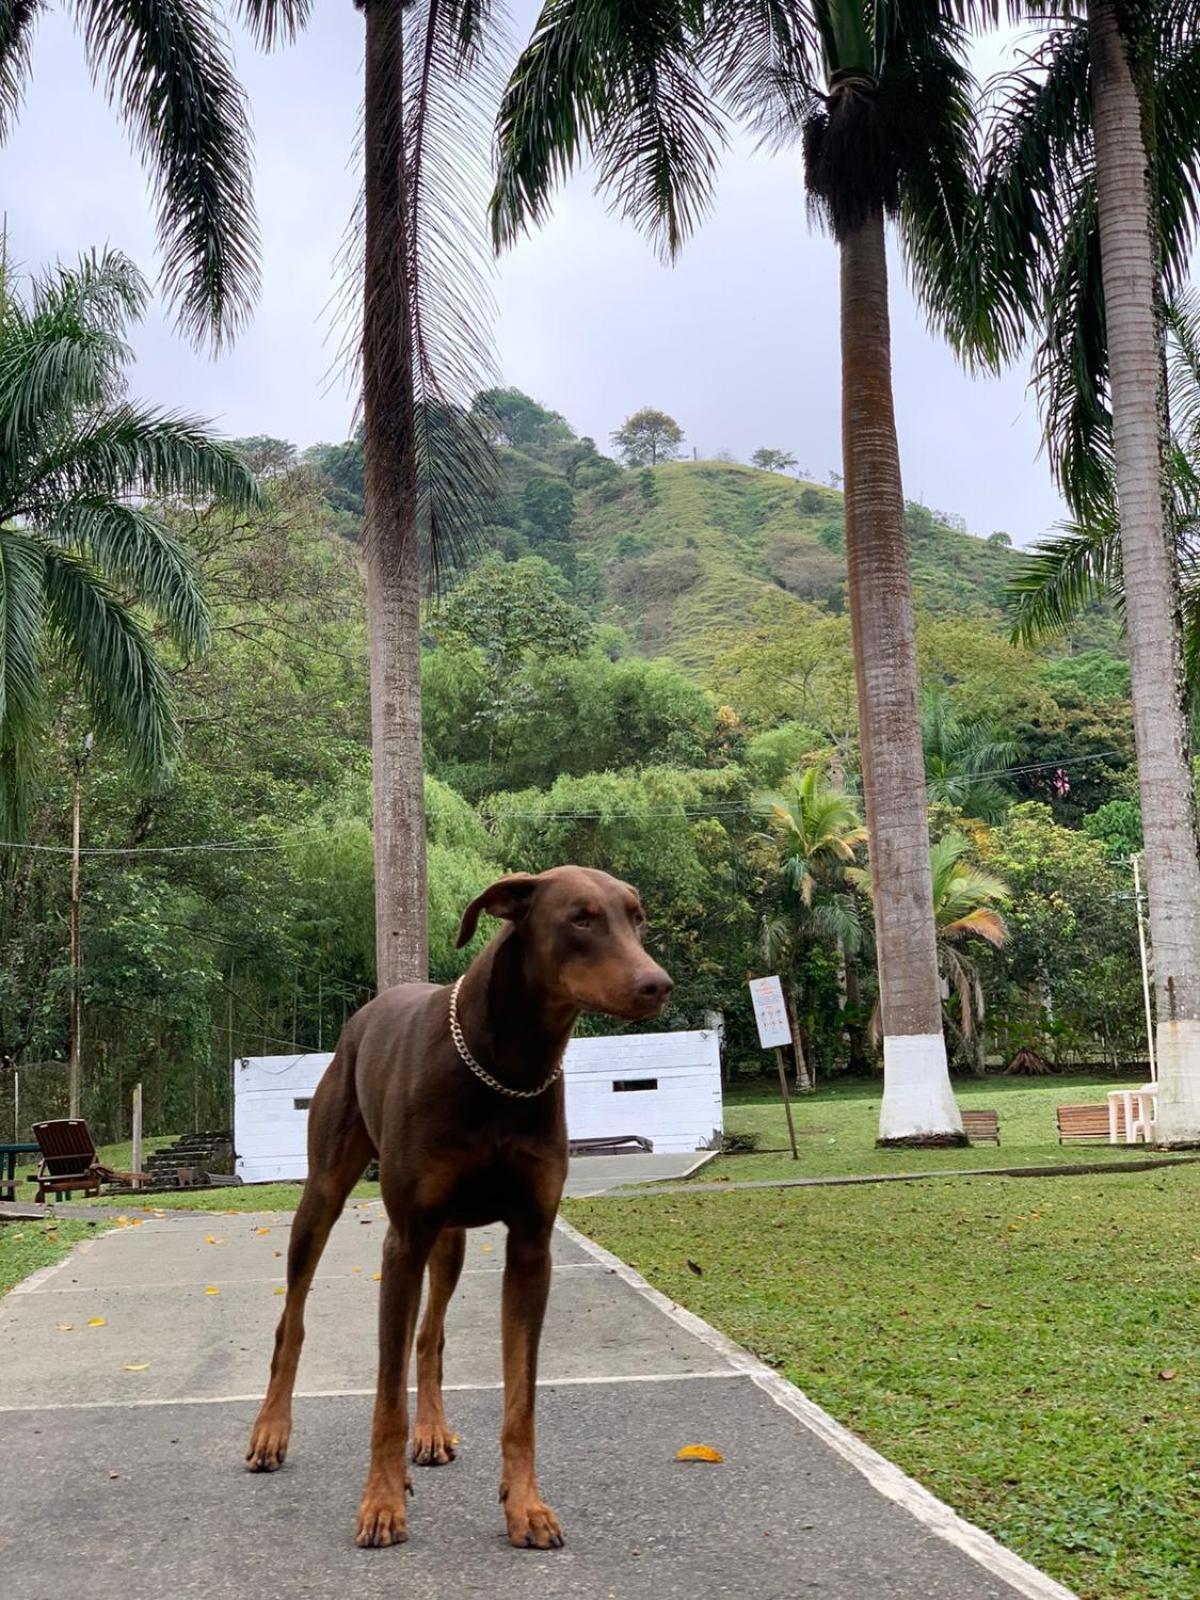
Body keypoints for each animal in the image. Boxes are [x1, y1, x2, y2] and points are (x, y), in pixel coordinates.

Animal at [244, 870, 678, 1542]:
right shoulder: (404, 1240)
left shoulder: (530, 1244)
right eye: (580, 918)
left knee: (431, 1337)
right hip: (324, 1197)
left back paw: (432, 1431)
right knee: (293, 1320)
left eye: (638, 918)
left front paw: (525, 1504)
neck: (504, 1067)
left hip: (449, 1239)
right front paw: (381, 1503)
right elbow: (385, 1394)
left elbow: (520, 1396)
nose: (656, 983)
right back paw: (271, 1431)